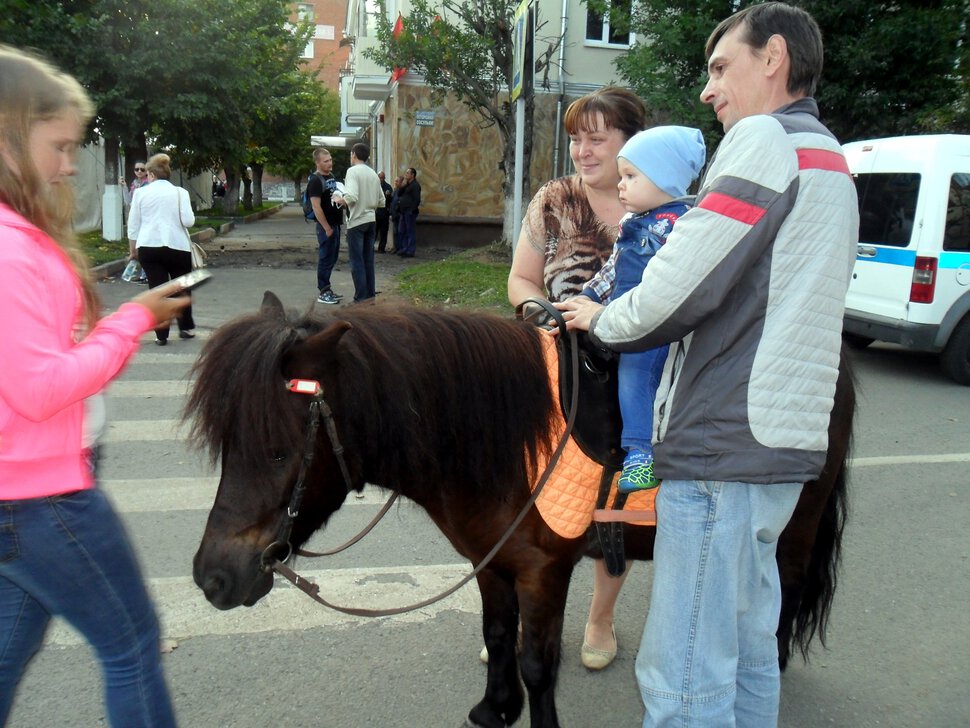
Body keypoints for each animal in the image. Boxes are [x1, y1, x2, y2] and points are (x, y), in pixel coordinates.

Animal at [185, 294, 852, 728]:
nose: (213, 577)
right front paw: (495, 708)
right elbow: (498, 634)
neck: (509, 440)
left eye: (278, 450)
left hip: (792, 530)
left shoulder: (543, 571)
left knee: (786, 591)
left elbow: (538, 663)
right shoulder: (491, 561)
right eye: (229, 444)